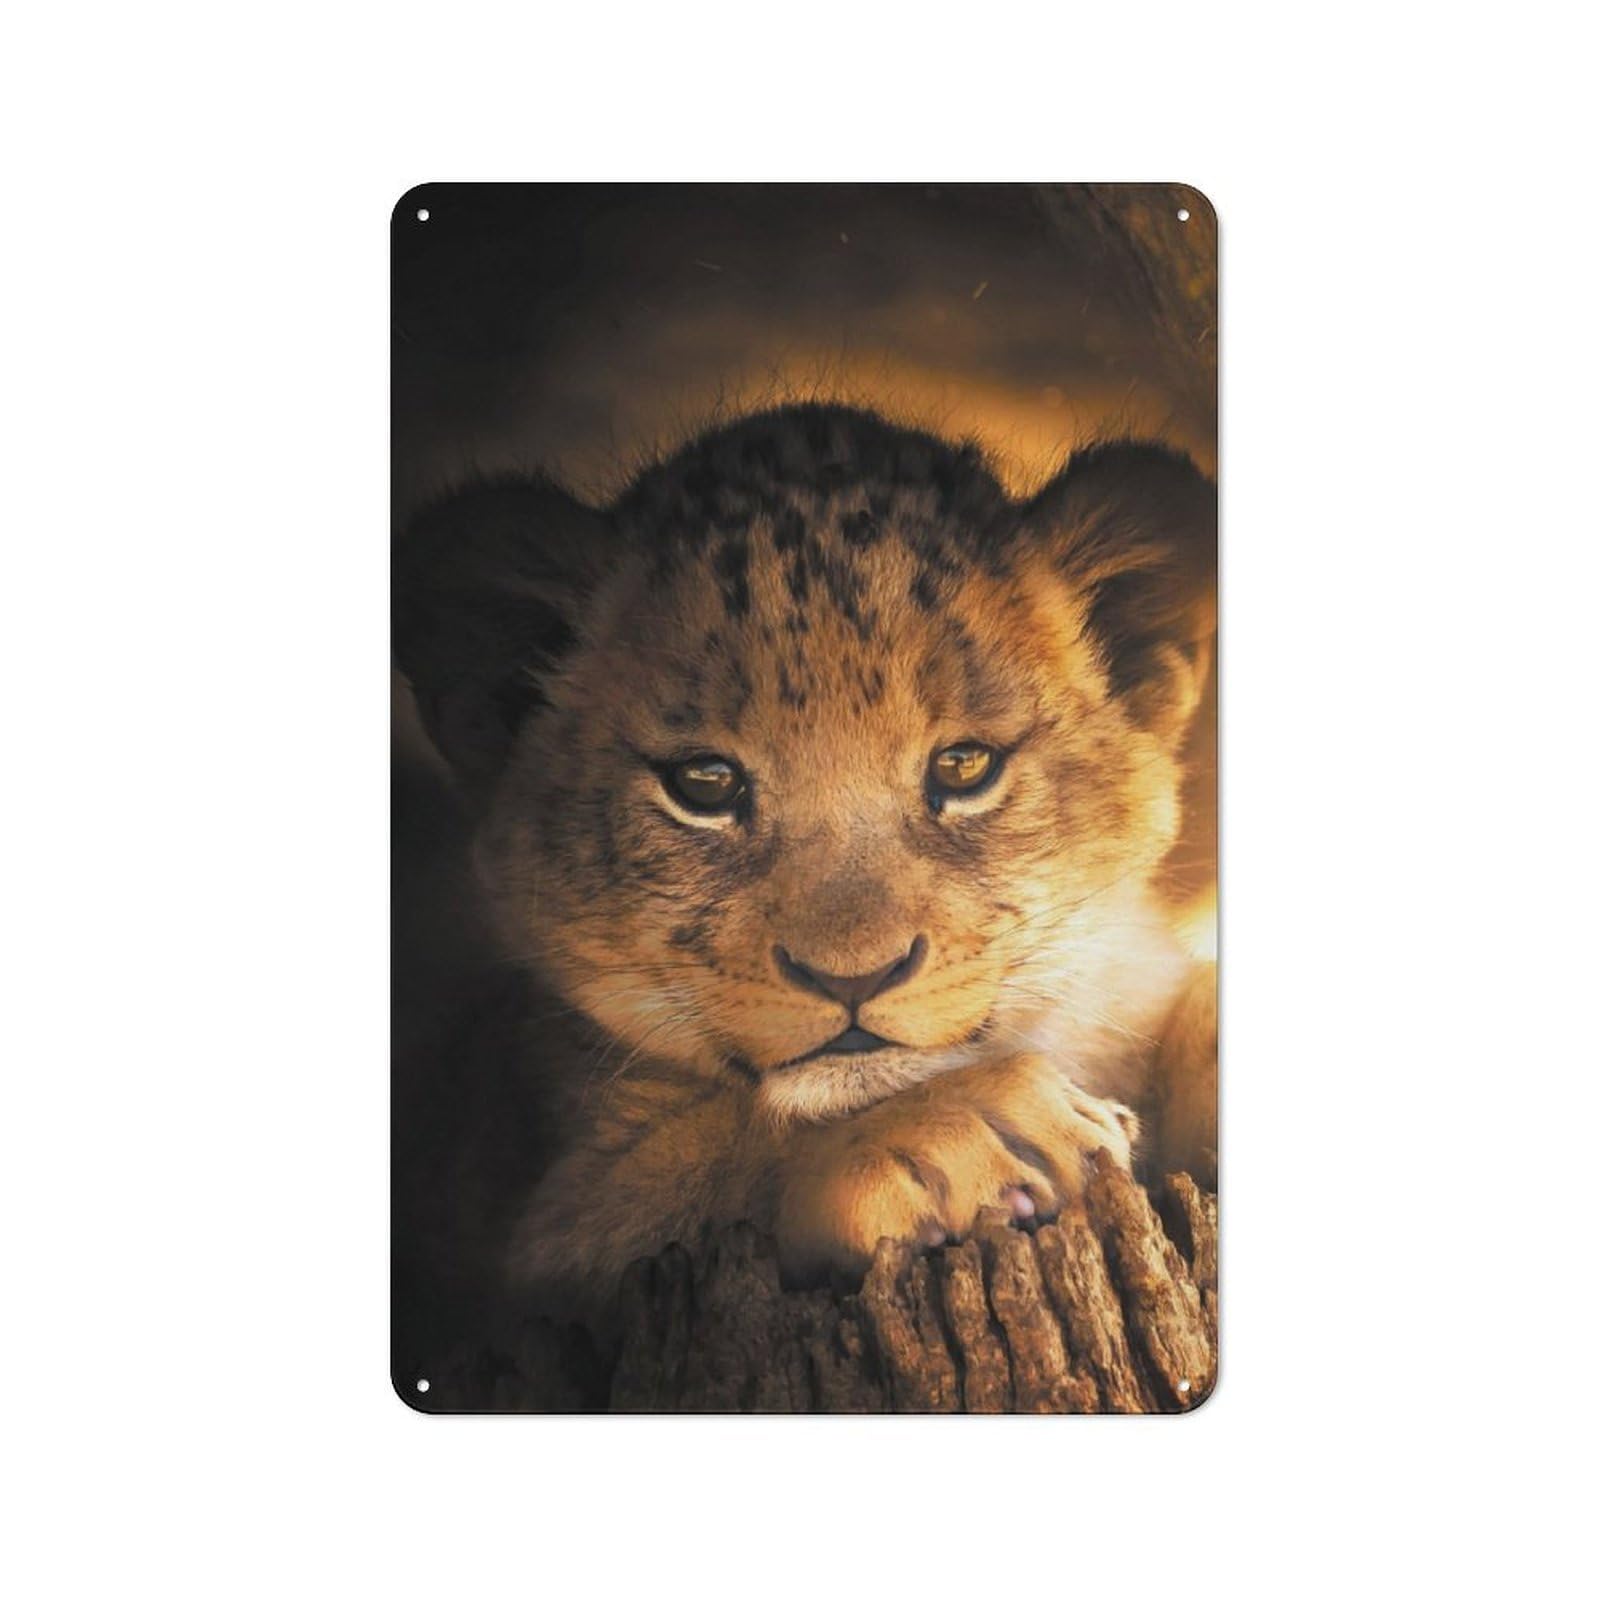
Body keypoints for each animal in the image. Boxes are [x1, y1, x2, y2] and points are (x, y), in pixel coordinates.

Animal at [394, 404, 1216, 1330]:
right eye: (704, 783)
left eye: (965, 766)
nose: (854, 977)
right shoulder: (521, 1246)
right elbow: (698, 1164)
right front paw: (959, 1129)